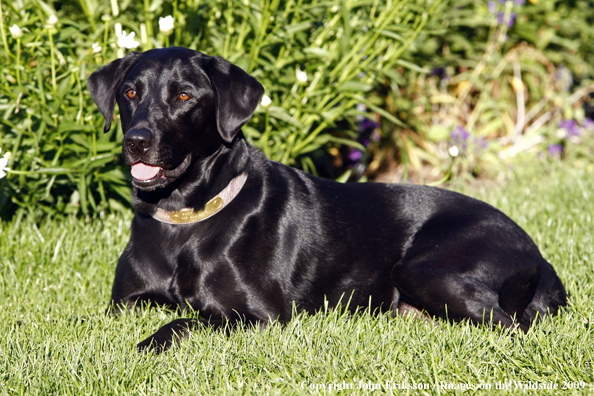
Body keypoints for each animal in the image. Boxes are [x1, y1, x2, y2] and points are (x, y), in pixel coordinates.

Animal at [86, 47, 564, 352]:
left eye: (184, 95)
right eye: (130, 93)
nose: (136, 142)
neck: (182, 220)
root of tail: (541, 258)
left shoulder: (259, 316)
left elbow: (184, 320)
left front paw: (145, 345)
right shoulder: (120, 305)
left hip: (426, 269)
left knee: (514, 325)